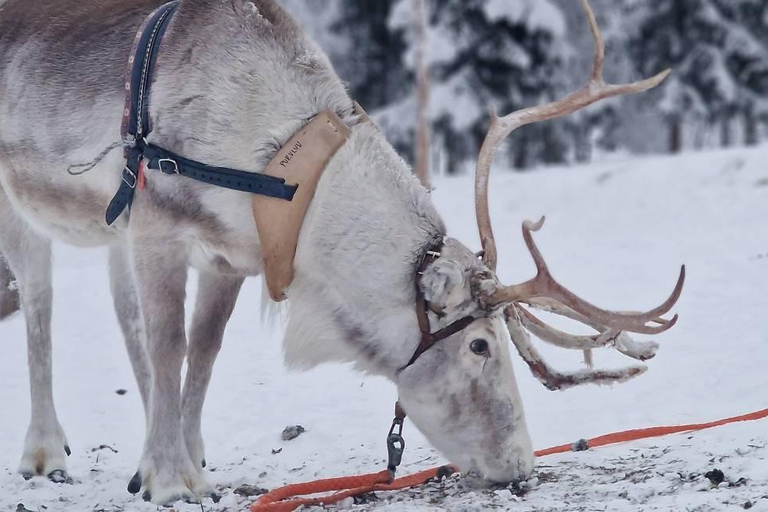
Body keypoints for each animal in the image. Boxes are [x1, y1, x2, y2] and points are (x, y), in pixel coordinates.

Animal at [0, 0, 683, 505]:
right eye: (479, 345)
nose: (519, 466)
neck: (278, 171)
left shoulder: (231, 259)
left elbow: (203, 354)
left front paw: (187, 464)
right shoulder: (158, 228)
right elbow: (172, 348)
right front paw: (171, 482)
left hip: (112, 237)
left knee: (126, 321)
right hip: (21, 210)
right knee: (41, 307)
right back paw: (46, 452)